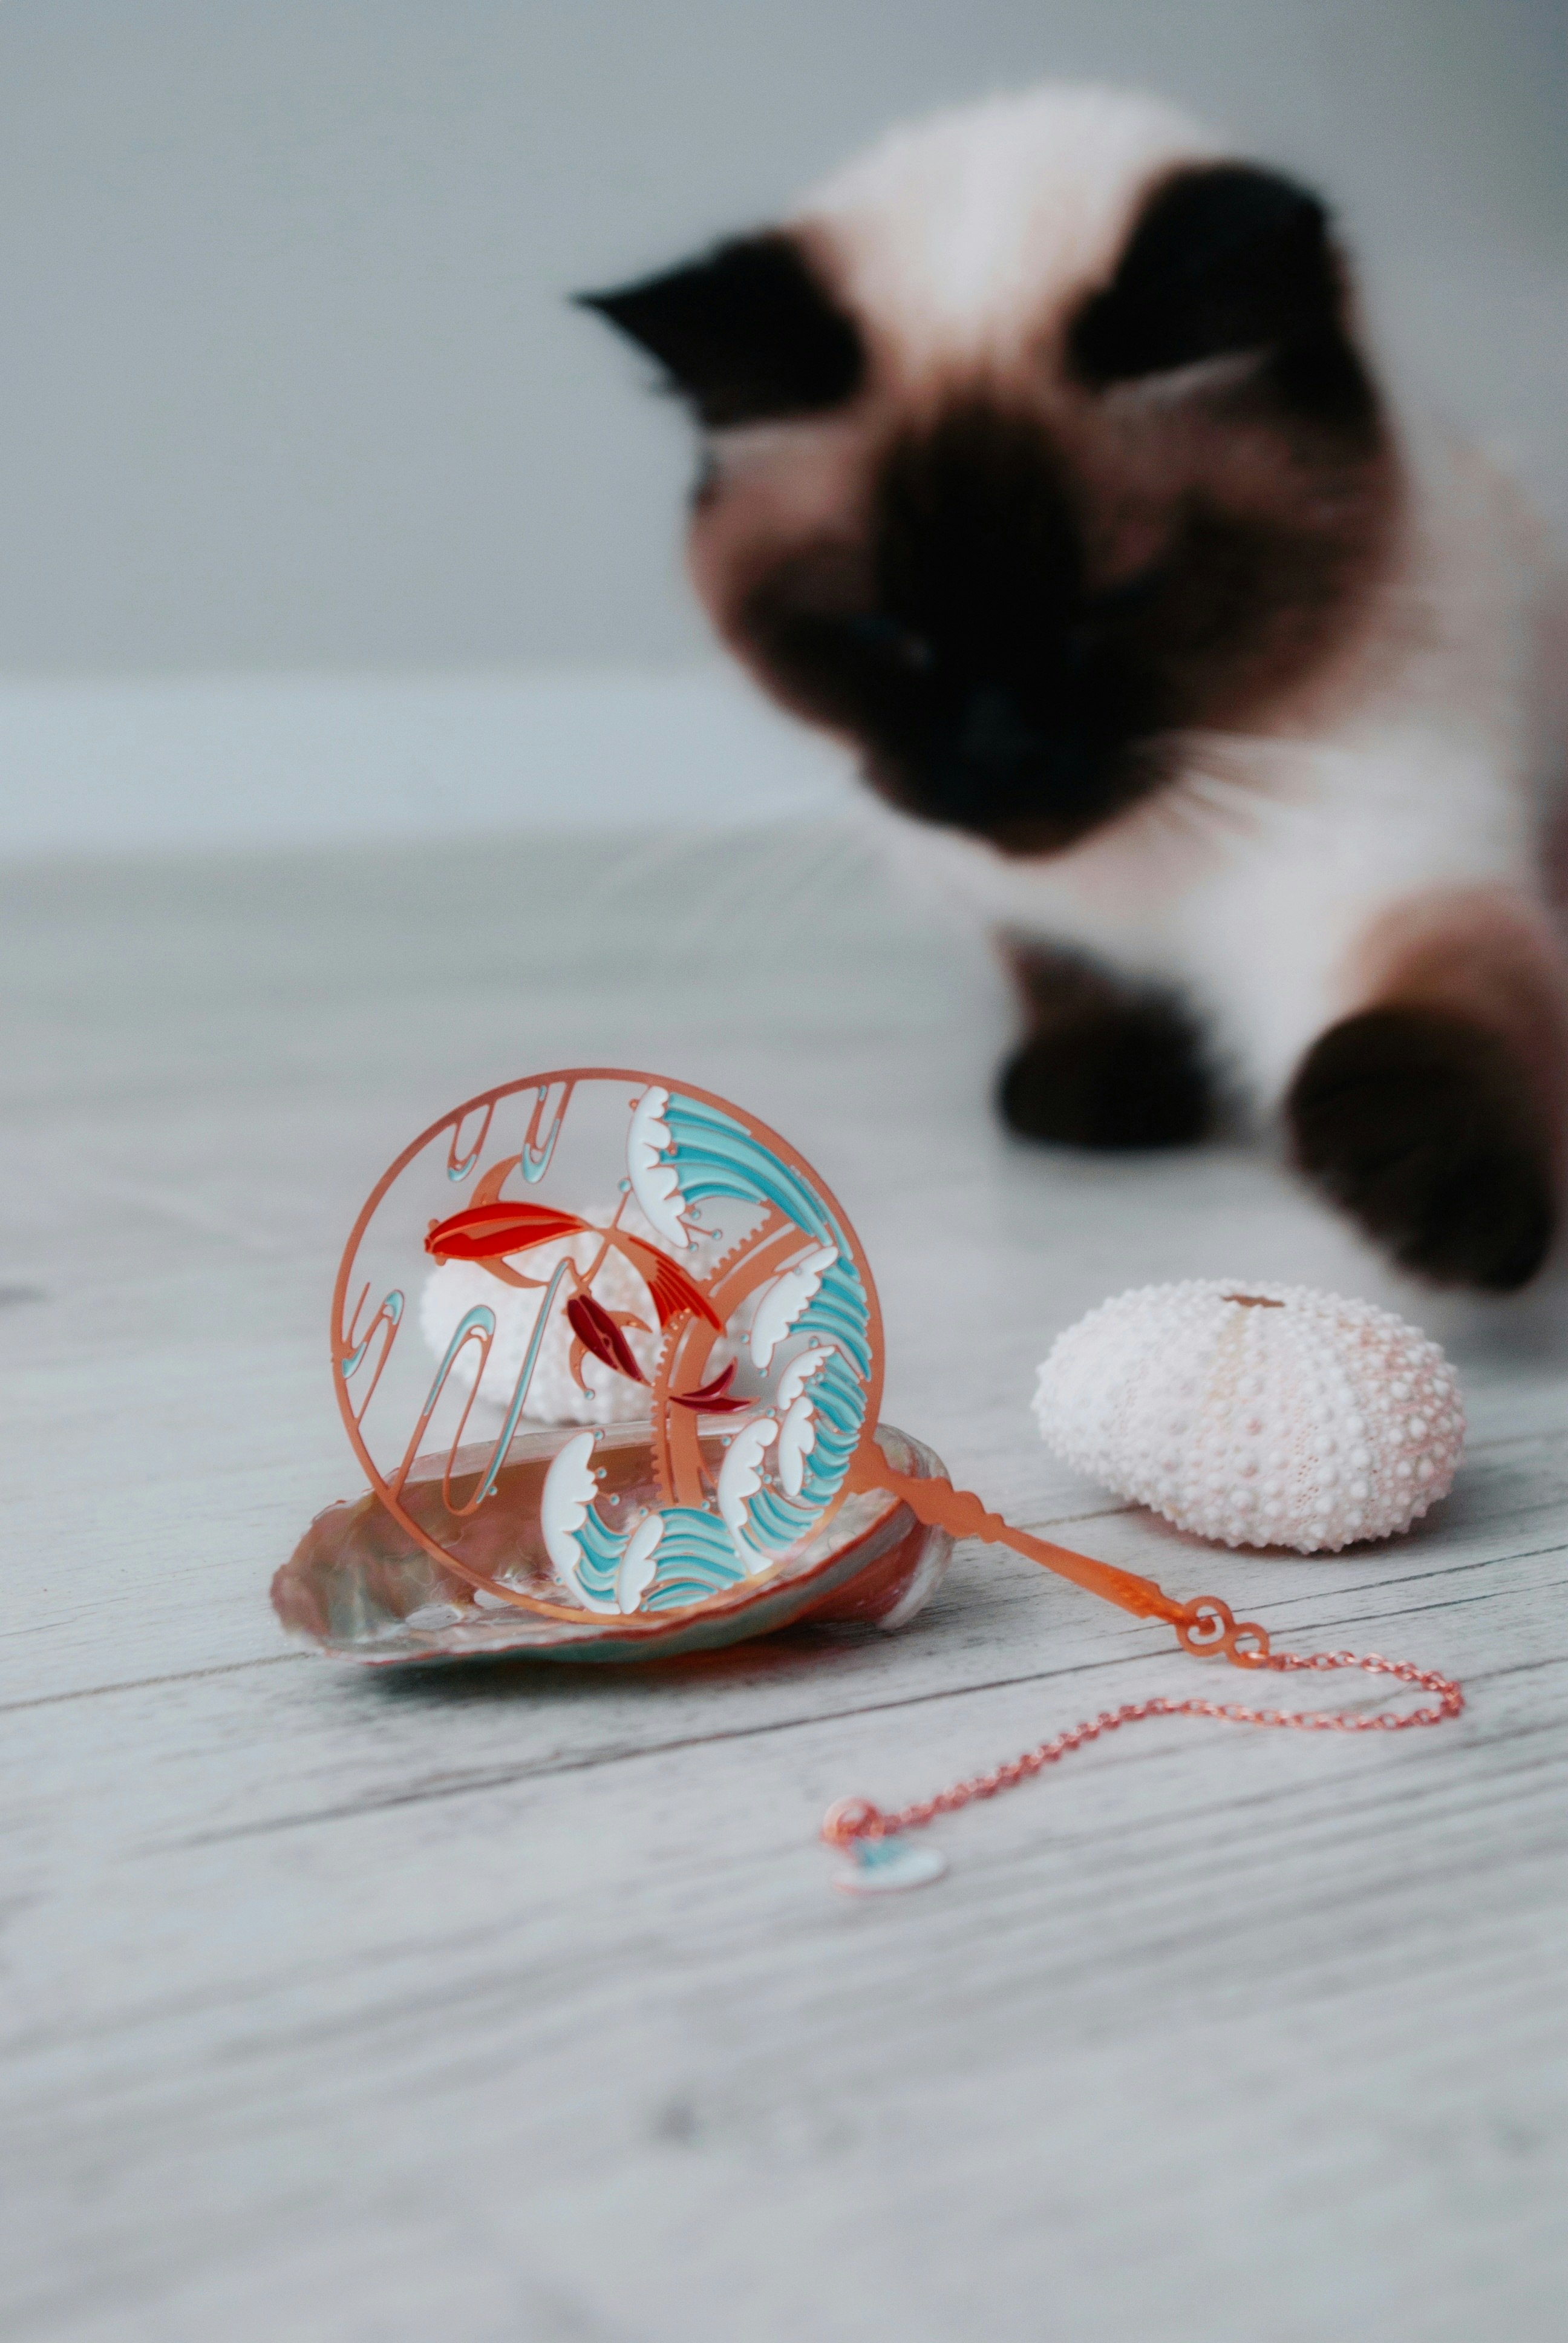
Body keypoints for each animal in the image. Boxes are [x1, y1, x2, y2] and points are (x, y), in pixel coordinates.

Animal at [578, 87, 1566, 1302]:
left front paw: (1448, 1212)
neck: (1135, 879)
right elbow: (1064, 980)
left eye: (1116, 602)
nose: (1001, 755)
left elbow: (1433, 1026)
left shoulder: (1383, 884)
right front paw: (1097, 1096)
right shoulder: (994, 892)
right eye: (886, 634)